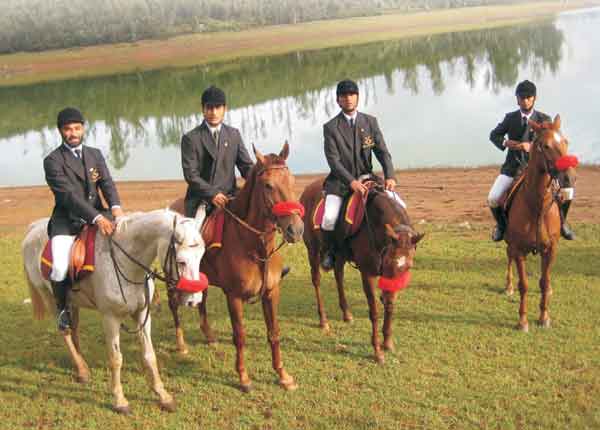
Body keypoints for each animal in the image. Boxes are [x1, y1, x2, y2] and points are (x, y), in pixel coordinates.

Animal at [21, 208, 206, 414]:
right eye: (181, 261)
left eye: (201, 256)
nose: (194, 300)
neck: (126, 261)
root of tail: (33, 228)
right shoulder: (110, 318)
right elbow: (116, 358)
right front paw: (120, 401)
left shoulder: (142, 314)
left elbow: (149, 355)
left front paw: (163, 396)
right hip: (51, 299)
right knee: (65, 331)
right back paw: (81, 368)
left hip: (73, 303)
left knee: (74, 328)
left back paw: (80, 365)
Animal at [298, 177, 422, 362]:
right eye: (388, 261)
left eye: (409, 266)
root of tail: (307, 189)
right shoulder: (368, 274)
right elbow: (374, 311)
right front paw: (377, 351)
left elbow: (390, 307)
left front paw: (387, 342)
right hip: (312, 249)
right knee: (316, 280)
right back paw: (323, 320)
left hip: (340, 254)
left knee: (339, 276)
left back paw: (347, 313)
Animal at [504, 115, 580, 332]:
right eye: (545, 146)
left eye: (565, 142)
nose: (569, 178)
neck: (537, 205)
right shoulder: (519, 249)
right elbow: (524, 284)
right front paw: (522, 321)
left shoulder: (551, 248)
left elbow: (544, 282)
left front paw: (544, 317)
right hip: (509, 243)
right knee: (508, 257)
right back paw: (508, 286)